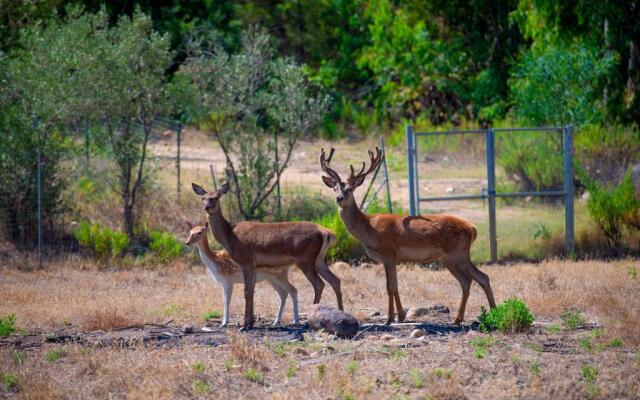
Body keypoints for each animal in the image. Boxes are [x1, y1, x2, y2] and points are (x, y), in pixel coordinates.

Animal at [190, 183, 340, 330]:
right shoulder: (254, 266)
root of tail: (326, 233)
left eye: (216, 197)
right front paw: (250, 323)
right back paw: (340, 311)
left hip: (305, 259)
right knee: (335, 280)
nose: (207, 207)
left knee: (319, 284)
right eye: (203, 197)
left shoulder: (247, 261)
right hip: (319, 260)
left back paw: (308, 321)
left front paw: (245, 325)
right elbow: (252, 290)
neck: (230, 238)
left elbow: (247, 291)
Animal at [318, 147, 496, 324]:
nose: (339, 198)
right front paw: (401, 316)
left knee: (482, 277)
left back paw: (493, 313)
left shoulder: (388, 253)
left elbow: (389, 287)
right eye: (334, 188)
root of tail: (472, 228)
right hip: (447, 258)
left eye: (350, 189)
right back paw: (458, 319)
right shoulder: (394, 258)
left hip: (458, 253)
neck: (368, 229)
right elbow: (395, 286)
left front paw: (389, 319)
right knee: (466, 281)